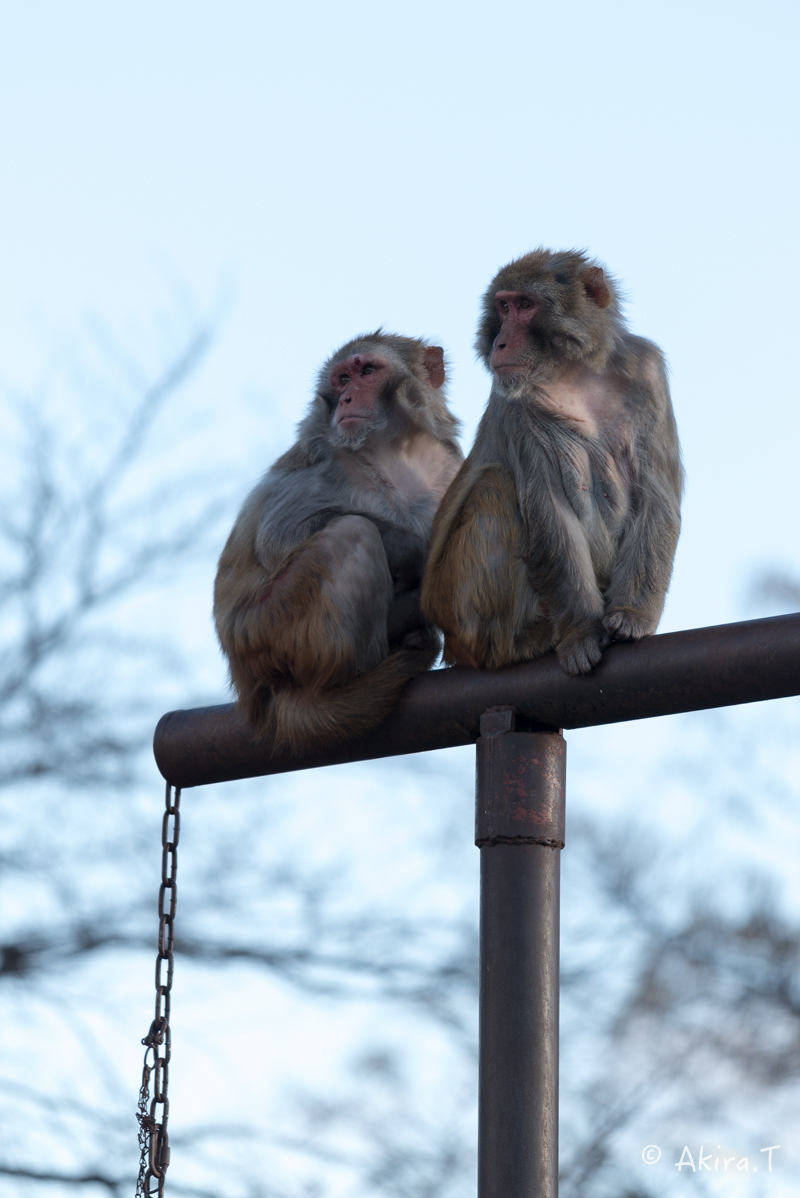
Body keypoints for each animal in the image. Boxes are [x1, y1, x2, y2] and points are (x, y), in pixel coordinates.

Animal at [211, 333, 462, 752]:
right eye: (342, 379)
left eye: (367, 371)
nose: (346, 399)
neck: (396, 452)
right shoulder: (325, 457)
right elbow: (281, 533)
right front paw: (416, 550)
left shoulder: (449, 470)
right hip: (271, 624)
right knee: (352, 531)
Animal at [421, 245, 685, 675]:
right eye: (504, 306)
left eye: (525, 305)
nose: (500, 343)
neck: (576, 371)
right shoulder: (518, 406)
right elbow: (550, 509)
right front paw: (580, 633)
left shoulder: (647, 375)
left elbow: (656, 499)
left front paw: (634, 615)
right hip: (459, 614)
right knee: (495, 484)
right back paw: (523, 640)